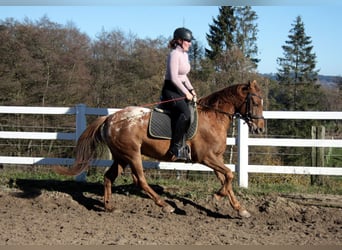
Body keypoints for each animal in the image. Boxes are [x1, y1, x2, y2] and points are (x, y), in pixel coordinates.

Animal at [55, 79, 264, 217]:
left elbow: (226, 179)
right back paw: (164, 205)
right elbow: (229, 175)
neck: (212, 117)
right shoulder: (206, 158)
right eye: (255, 102)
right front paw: (217, 196)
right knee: (140, 180)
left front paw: (240, 209)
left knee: (108, 177)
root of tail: (110, 118)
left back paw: (109, 207)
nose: (260, 128)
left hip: (121, 156)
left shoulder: (216, 158)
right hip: (133, 155)